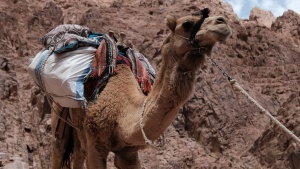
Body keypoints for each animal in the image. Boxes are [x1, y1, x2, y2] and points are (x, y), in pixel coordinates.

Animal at [50, 12, 232, 169]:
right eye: (187, 24)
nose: (222, 22)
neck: (122, 111)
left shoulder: (128, 153)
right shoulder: (95, 143)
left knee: (78, 153)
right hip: (60, 114)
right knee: (59, 150)